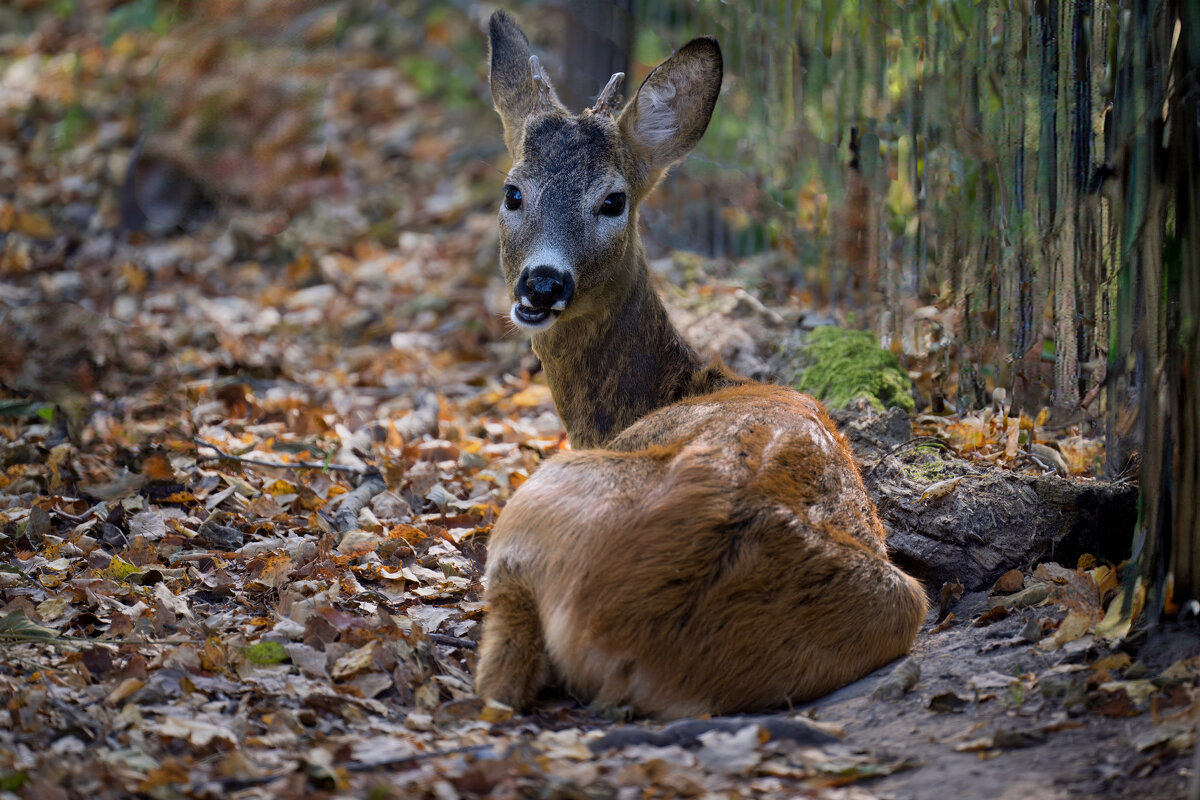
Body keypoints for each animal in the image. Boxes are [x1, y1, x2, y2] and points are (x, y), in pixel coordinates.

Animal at [472, 10, 921, 719]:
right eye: (513, 191)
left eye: (613, 201)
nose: (542, 285)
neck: (672, 387)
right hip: (901, 600)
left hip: (534, 503)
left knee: (500, 680)